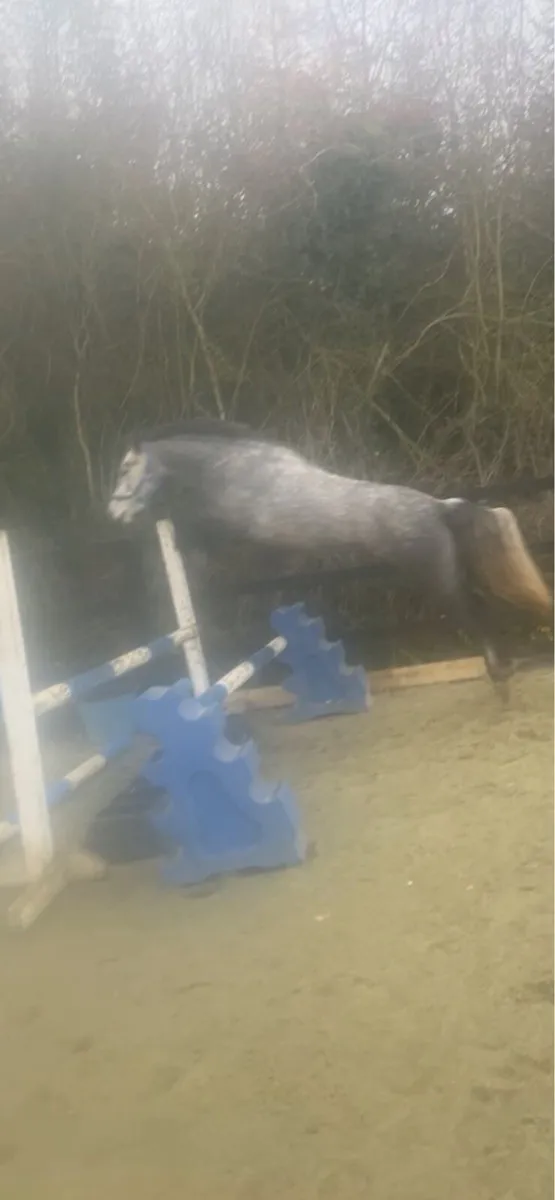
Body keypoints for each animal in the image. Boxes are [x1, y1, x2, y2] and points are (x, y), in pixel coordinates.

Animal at [107, 418, 552, 683]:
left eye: (126, 467)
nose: (115, 513)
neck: (235, 469)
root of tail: (440, 507)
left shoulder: (232, 528)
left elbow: (193, 532)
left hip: (437, 579)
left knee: (474, 613)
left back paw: (499, 673)